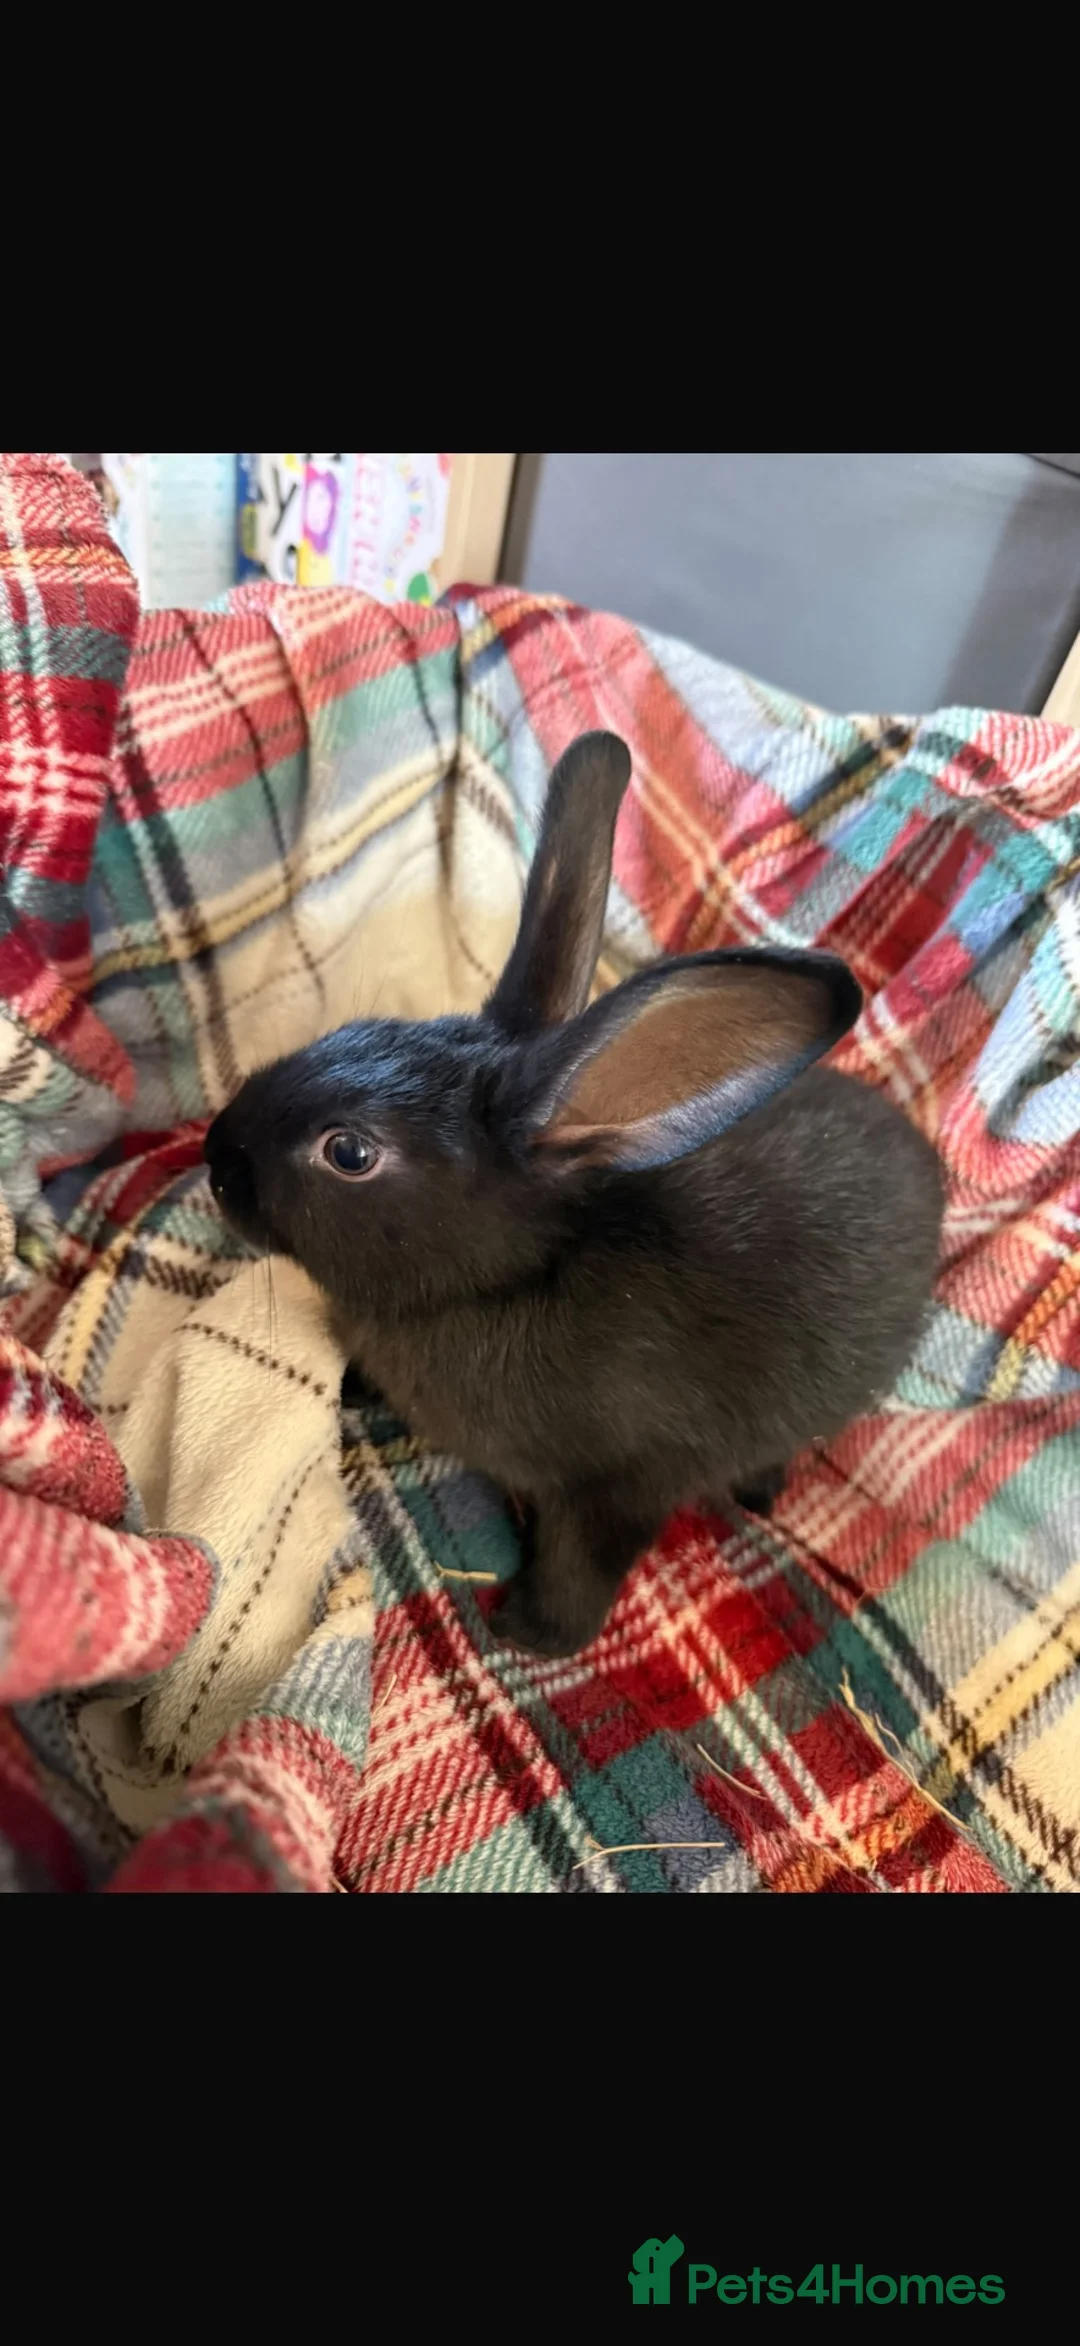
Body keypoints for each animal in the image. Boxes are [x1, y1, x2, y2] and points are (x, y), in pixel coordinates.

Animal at [205, 731, 944, 1657]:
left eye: (349, 1152)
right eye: (353, 1032)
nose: (214, 1159)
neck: (502, 1284)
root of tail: (927, 1166)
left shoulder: (622, 1485)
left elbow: (581, 1565)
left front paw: (525, 1631)